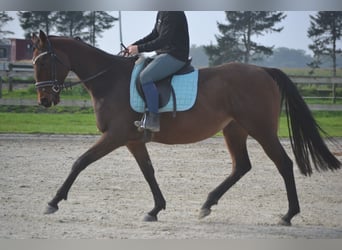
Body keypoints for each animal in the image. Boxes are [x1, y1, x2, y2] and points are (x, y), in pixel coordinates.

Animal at [30, 30, 340, 226]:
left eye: (43, 61)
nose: (44, 100)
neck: (111, 80)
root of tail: (264, 71)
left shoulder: (115, 136)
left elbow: (80, 162)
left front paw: (53, 201)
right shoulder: (133, 140)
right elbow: (148, 172)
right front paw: (155, 209)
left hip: (261, 130)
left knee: (284, 164)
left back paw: (288, 215)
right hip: (234, 130)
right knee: (241, 166)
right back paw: (207, 205)